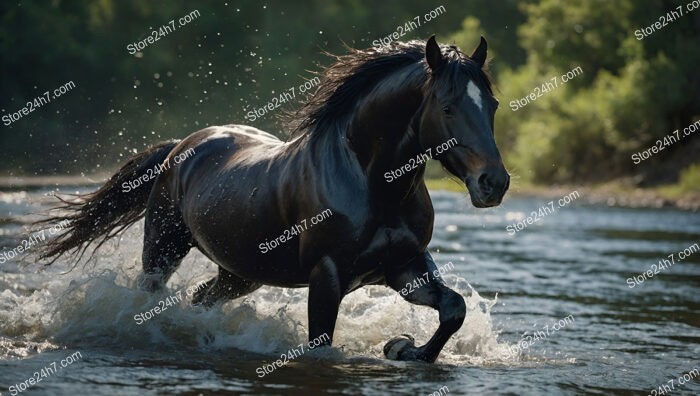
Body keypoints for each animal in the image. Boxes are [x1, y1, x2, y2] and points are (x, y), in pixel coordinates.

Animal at [38, 36, 508, 362]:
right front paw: (400, 346)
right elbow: (320, 344)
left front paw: (401, 348)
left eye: (493, 105)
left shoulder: (404, 266)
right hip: (163, 248)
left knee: (202, 298)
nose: (495, 183)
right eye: (447, 107)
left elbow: (453, 309)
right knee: (149, 296)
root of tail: (180, 147)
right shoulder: (327, 275)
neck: (373, 182)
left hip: (241, 272)